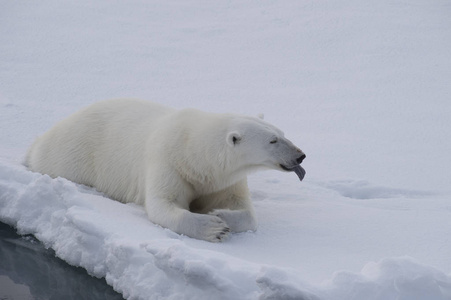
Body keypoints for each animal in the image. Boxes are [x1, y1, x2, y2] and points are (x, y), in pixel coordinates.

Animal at [25, 99, 308, 241]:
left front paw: (221, 214)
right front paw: (214, 227)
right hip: (72, 154)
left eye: (282, 133)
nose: (300, 155)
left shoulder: (223, 180)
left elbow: (245, 211)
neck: (195, 153)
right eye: (273, 141)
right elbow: (164, 205)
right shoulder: (168, 163)